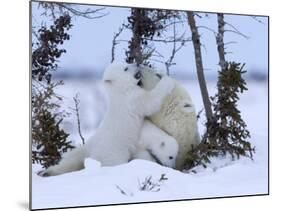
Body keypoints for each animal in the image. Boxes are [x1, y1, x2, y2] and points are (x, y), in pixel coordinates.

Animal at [37, 62, 173, 176]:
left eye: (126, 63)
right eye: (126, 68)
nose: (137, 64)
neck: (119, 90)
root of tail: (93, 156)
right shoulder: (132, 99)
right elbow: (151, 101)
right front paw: (166, 80)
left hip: (85, 148)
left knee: (70, 159)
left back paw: (46, 172)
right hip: (113, 153)